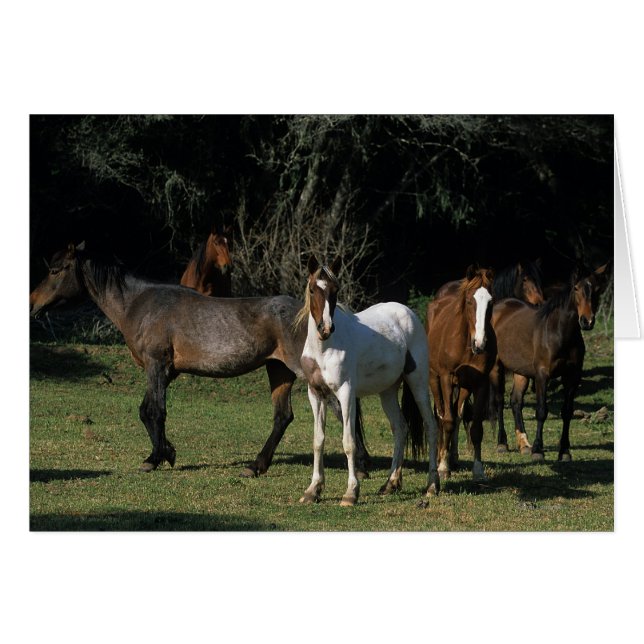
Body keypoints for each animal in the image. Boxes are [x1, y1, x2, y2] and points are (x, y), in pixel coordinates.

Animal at [29, 242, 371, 477]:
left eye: (56, 270)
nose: (33, 303)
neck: (140, 304)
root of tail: (320, 317)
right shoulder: (165, 371)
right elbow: (149, 411)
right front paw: (167, 452)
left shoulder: (156, 365)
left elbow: (154, 412)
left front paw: (155, 458)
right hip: (279, 370)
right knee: (282, 416)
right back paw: (256, 466)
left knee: (339, 408)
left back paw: (361, 468)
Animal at [297, 255, 439, 506]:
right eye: (313, 289)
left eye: (335, 290)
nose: (326, 328)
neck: (325, 348)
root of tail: (408, 313)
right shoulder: (316, 394)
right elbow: (318, 441)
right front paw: (313, 490)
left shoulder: (345, 393)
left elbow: (349, 442)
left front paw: (351, 493)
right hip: (388, 391)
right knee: (400, 428)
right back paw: (390, 484)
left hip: (418, 383)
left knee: (431, 427)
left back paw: (432, 486)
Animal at [426, 265, 496, 481]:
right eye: (469, 301)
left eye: (491, 301)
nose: (480, 343)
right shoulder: (447, 378)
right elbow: (447, 420)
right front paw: (442, 467)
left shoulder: (480, 382)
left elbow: (476, 428)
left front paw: (478, 470)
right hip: (435, 379)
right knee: (441, 415)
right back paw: (441, 457)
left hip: (464, 386)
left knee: (458, 414)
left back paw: (452, 456)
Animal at [490, 263, 609, 460]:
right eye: (576, 288)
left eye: (597, 289)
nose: (587, 321)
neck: (559, 332)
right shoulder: (542, 375)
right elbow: (541, 411)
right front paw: (538, 450)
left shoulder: (572, 377)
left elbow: (567, 412)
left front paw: (565, 452)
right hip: (496, 367)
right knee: (499, 401)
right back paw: (502, 443)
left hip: (521, 371)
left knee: (515, 401)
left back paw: (524, 445)